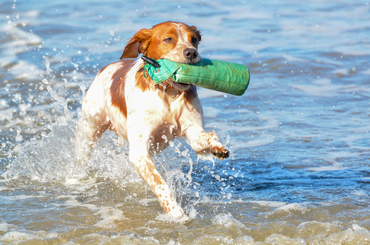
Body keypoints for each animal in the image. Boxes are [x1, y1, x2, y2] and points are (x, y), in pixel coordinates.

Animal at [76, 20, 228, 220]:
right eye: (168, 39)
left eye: (194, 39)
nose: (191, 53)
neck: (168, 92)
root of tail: (106, 68)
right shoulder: (139, 152)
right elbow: (160, 184)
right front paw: (176, 212)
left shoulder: (192, 129)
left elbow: (207, 137)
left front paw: (218, 147)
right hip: (90, 129)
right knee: (81, 155)